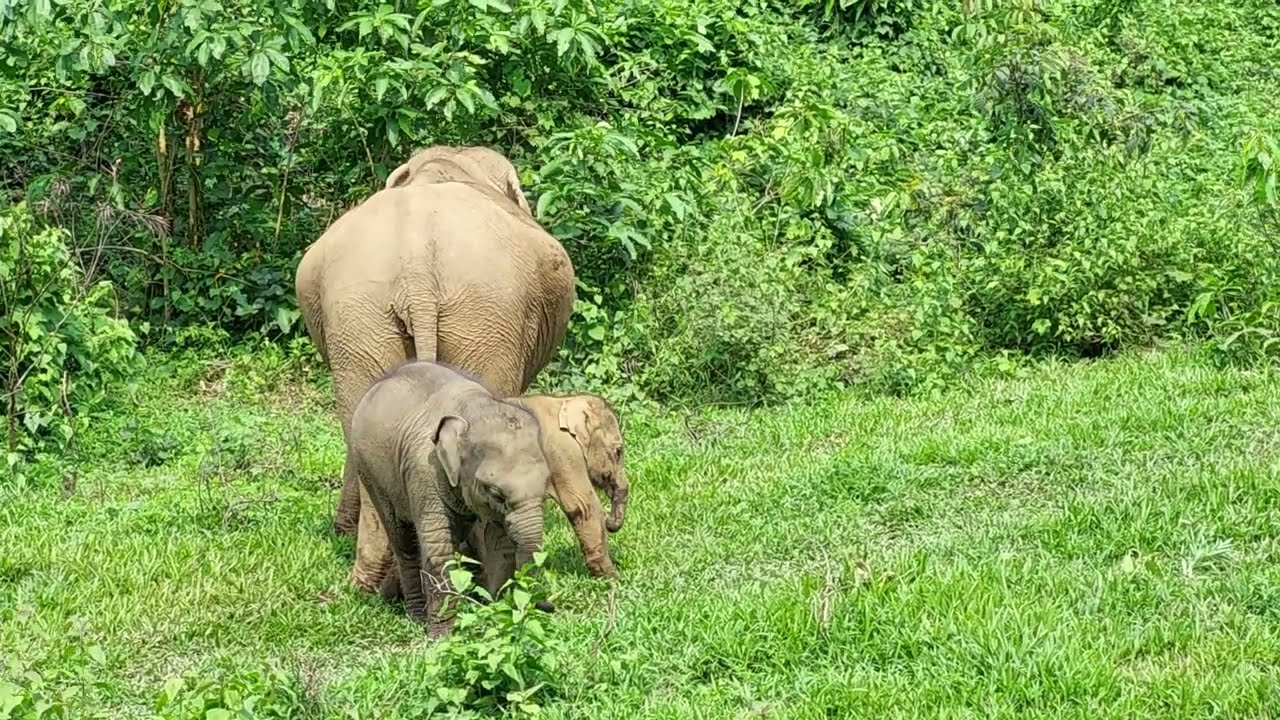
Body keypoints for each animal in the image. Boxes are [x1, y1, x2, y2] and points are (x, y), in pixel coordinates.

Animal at [349, 360, 552, 637]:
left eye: (546, 487)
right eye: (496, 493)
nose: (548, 606)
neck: (473, 408)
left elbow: (500, 548)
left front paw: (492, 618)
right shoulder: (425, 471)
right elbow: (438, 550)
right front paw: (442, 636)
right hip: (370, 471)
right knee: (403, 541)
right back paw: (416, 616)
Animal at [378, 392, 630, 599]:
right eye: (619, 451)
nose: (611, 523)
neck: (564, 401)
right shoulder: (563, 452)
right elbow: (583, 506)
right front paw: (612, 578)